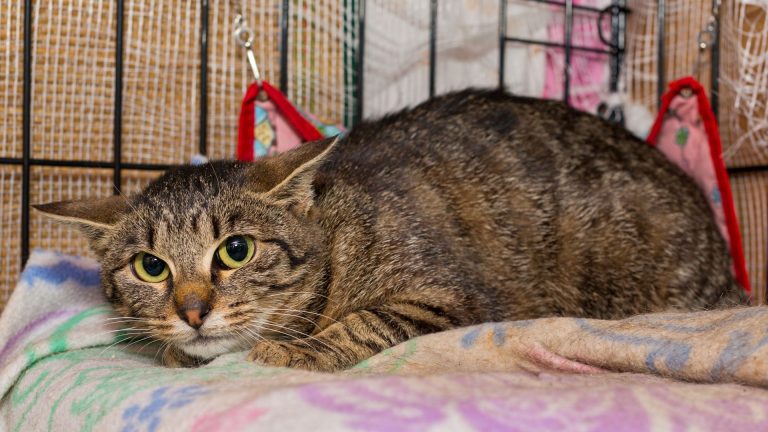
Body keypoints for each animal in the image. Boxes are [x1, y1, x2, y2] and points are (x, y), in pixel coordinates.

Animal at [34, 88, 744, 372]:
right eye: (150, 266)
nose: (191, 312)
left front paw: (294, 349)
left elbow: (365, 322)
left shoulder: (444, 294)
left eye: (235, 251)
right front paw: (176, 348)